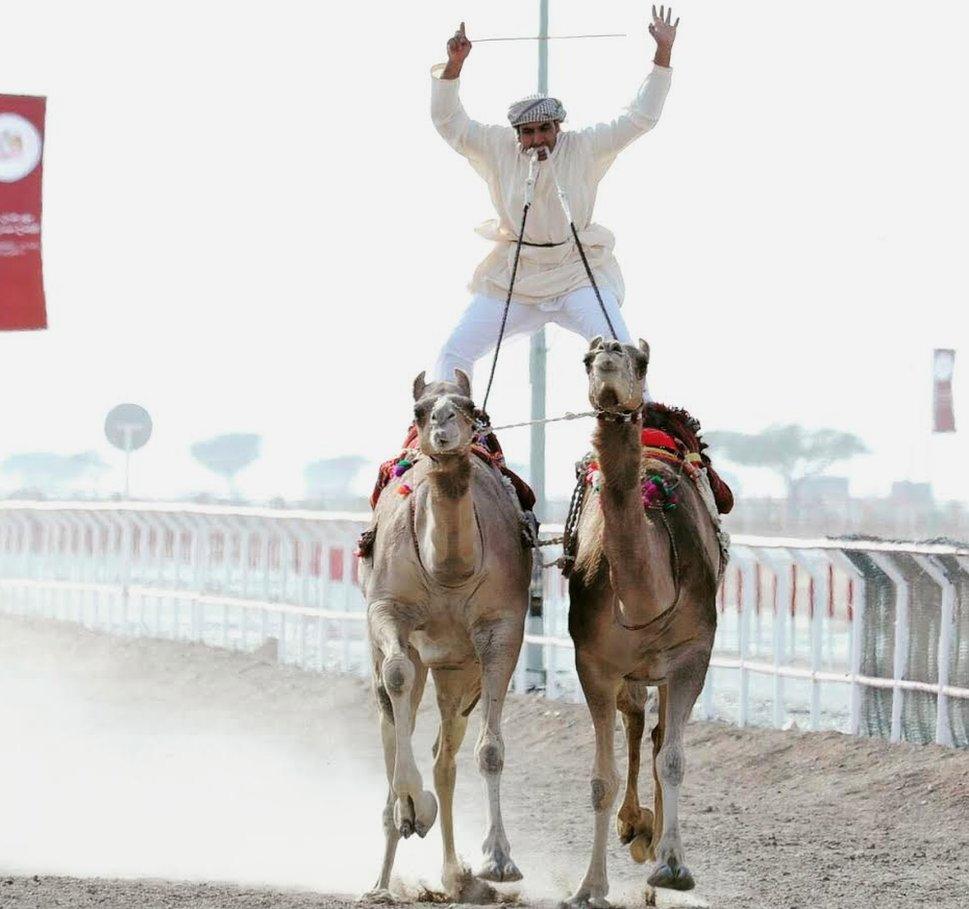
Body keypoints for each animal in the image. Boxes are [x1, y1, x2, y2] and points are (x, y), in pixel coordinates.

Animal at [360, 368, 532, 900]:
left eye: (471, 407)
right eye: (419, 411)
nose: (442, 425)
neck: (449, 571)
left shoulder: (501, 630)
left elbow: (490, 749)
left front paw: (499, 861)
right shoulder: (387, 608)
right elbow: (396, 676)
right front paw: (415, 808)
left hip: (458, 671)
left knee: (445, 757)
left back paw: (456, 876)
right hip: (411, 657)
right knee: (392, 718)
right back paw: (382, 876)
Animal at [564, 336, 724, 904]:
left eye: (641, 360)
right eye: (587, 360)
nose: (609, 352)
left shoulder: (693, 654)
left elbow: (674, 759)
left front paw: (673, 867)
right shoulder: (593, 661)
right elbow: (600, 779)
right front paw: (590, 885)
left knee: (656, 736)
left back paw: (652, 841)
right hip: (630, 667)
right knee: (635, 721)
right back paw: (635, 826)